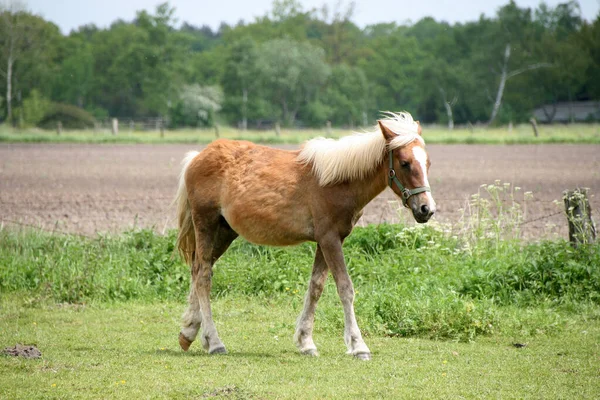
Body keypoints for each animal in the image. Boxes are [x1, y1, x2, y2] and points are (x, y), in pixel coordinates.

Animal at [173, 111, 436, 360]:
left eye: (428, 162)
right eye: (404, 163)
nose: (427, 209)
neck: (338, 182)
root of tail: (197, 157)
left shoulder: (327, 241)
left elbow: (316, 286)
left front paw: (306, 342)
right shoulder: (330, 240)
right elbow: (345, 288)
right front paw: (358, 346)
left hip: (225, 232)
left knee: (198, 270)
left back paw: (189, 333)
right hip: (206, 225)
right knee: (203, 276)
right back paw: (214, 342)